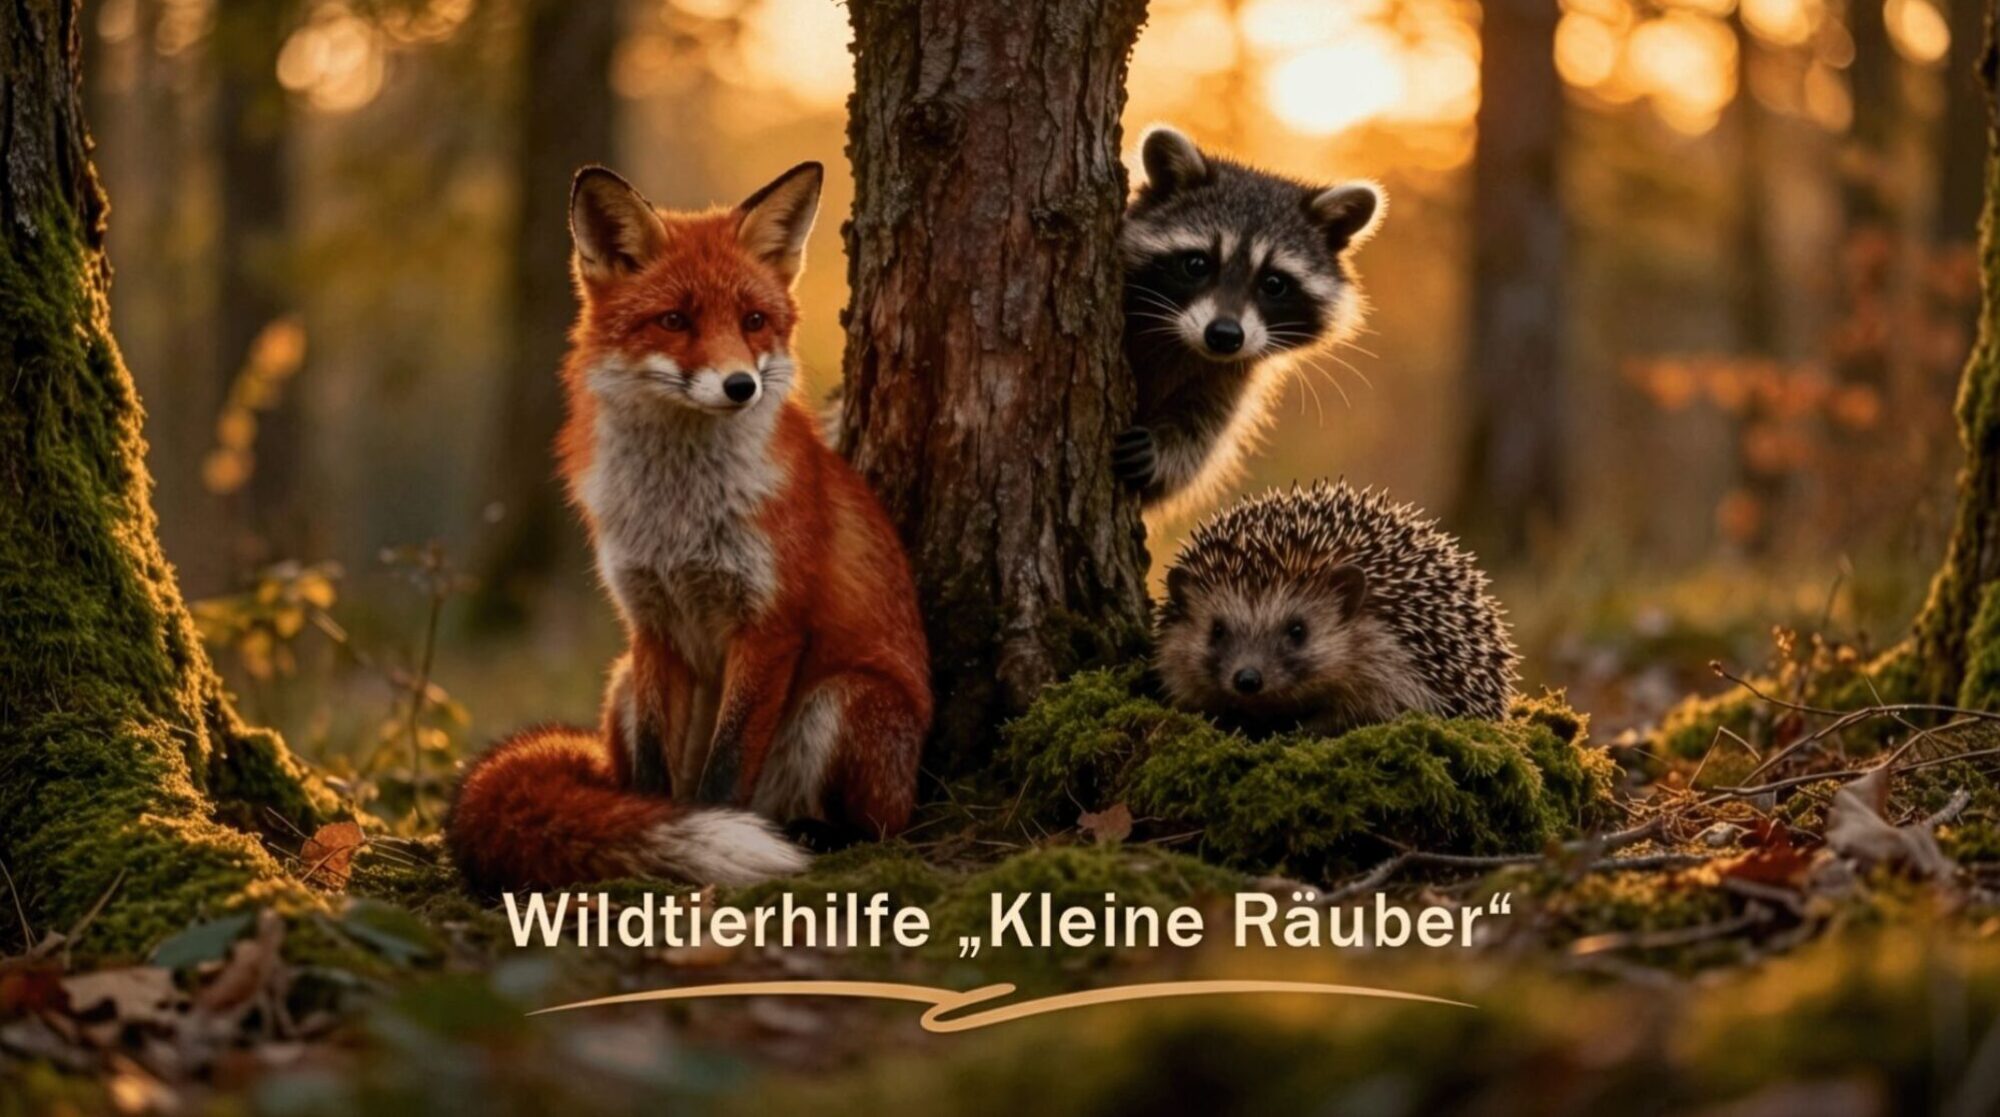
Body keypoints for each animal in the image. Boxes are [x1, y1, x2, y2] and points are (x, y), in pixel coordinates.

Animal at [446, 162, 932, 894]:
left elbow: (724, 771)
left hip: (846, 698)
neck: (679, 514)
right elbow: (654, 773)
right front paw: (642, 830)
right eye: (675, 320)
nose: (740, 387)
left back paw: (817, 833)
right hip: (620, 681)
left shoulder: (769, 625)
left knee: (882, 826)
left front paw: (706, 842)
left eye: (754, 321)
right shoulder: (650, 625)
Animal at [1113, 125, 1384, 518]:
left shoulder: (1230, 377)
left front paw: (1164, 455)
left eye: (1273, 283)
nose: (1225, 336)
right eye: (1197, 264)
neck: (1183, 346)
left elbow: (1200, 433)